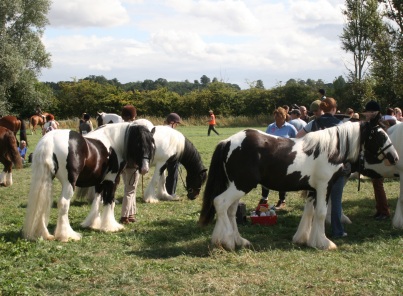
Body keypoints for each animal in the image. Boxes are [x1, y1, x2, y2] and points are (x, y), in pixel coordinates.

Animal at [22, 121, 155, 242]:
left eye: (152, 145)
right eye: (138, 144)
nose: (145, 169)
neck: (114, 142)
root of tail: (50, 140)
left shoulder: (99, 181)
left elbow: (98, 200)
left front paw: (93, 223)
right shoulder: (112, 180)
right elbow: (109, 201)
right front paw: (110, 226)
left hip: (46, 180)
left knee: (43, 203)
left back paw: (44, 234)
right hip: (69, 183)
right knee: (63, 204)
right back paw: (67, 235)